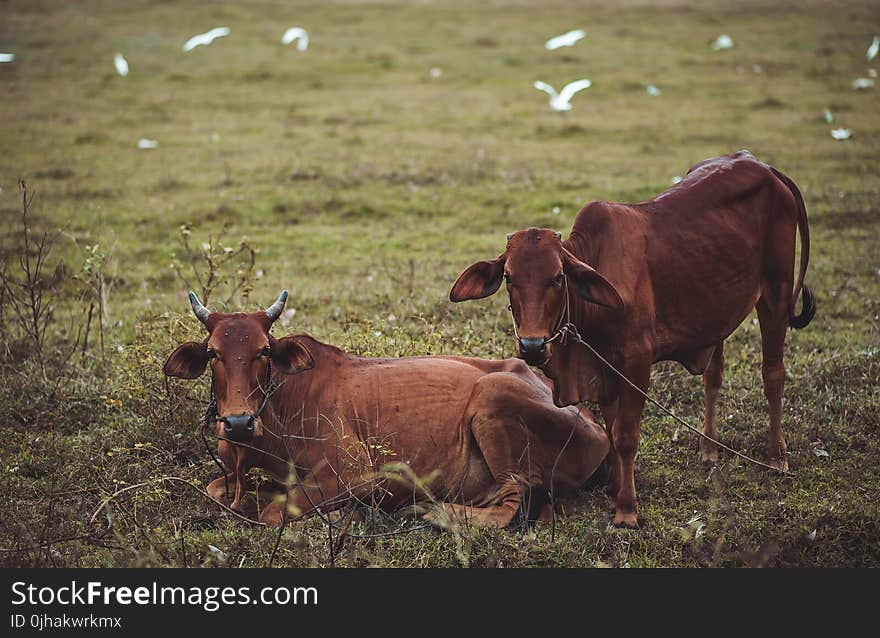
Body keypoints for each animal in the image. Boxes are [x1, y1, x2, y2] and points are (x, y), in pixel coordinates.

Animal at [162, 292, 608, 528]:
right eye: (213, 353)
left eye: (263, 351)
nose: (237, 423)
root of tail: (594, 423)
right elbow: (218, 491)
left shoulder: (354, 474)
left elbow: (274, 513)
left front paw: (340, 517)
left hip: (492, 397)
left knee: (513, 503)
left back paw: (437, 512)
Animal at [450, 151, 816, 528]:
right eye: (509, 277)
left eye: (557, 277)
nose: (532, 346)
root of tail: (764, 166)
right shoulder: (604, 369)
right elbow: (612, 431)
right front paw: (613, 491)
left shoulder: (637, 362)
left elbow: (625, 435)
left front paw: (626, 509)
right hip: (719, 310)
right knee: (714, 376)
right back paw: (709, 449)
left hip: (775, 294)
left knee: (773, 374)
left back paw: (777, 457)